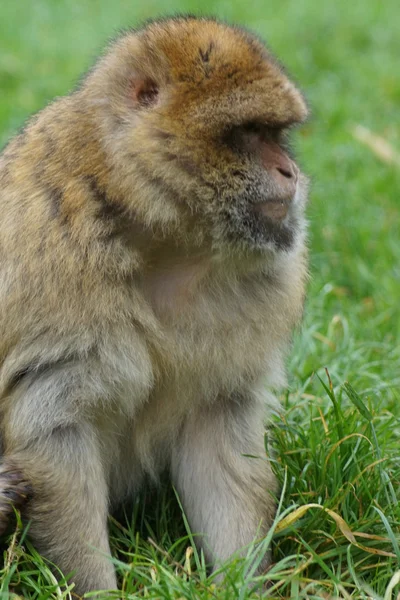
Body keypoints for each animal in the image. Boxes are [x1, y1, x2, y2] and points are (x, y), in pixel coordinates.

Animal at [0, 15, 310, 596]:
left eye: (277, 135)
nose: (290, 173)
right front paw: (96, 587)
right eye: (248, 134)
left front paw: (243, 583)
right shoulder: (47, 261)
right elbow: (55, 428)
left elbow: (219, 436)